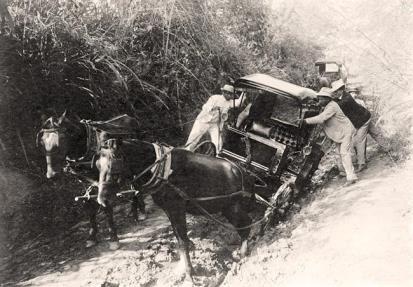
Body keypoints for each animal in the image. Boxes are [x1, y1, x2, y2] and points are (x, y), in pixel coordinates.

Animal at [37, 112, 146, 250]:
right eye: (41, 143)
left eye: (60, 140)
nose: (52, 175)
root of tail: (130, 117)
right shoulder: (85, 181)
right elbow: (88, 204)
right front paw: (92, 236)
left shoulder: (102, 179)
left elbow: (105, 205)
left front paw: (113, 237)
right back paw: (134, 211)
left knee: (136, 184)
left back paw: (140, 211)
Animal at [96, 139, 254, 284]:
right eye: (97, 165)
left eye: (113, 166)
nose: (102, 200)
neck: (162, 170)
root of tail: (242, 171)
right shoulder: (168, 210)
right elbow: (179, 237)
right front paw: (184, 265)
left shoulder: (176, 208)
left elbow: (182, 242)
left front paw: (190, 272)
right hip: (227, 207)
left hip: (232, 208)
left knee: (246, 224)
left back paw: (242, 253)